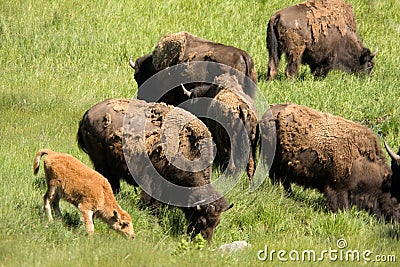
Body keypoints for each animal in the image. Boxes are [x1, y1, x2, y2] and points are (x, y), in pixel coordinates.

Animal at [77, 99, 233, 243]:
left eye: (217, 223)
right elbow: (151, 202)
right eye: (201, 220)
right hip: (102, 164)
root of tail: (87, 114)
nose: (205, 242)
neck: (189, 151)